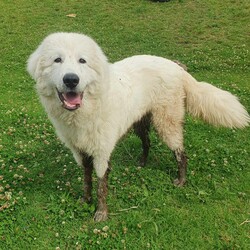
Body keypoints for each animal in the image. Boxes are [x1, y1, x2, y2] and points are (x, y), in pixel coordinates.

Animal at [26, 32, 249, 221]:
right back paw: (142, 162)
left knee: (181, 153)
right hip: (139, 122)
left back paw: (181, 180)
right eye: (57, 60)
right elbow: (87, 179)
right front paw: (85, 200)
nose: (71, 80)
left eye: (82, 60)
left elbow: (101, 185)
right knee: (147, 142)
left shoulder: (101, 152)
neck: (87, 107)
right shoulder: (79, 151)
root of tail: (176, 67)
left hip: (166, 123)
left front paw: (101, 212)